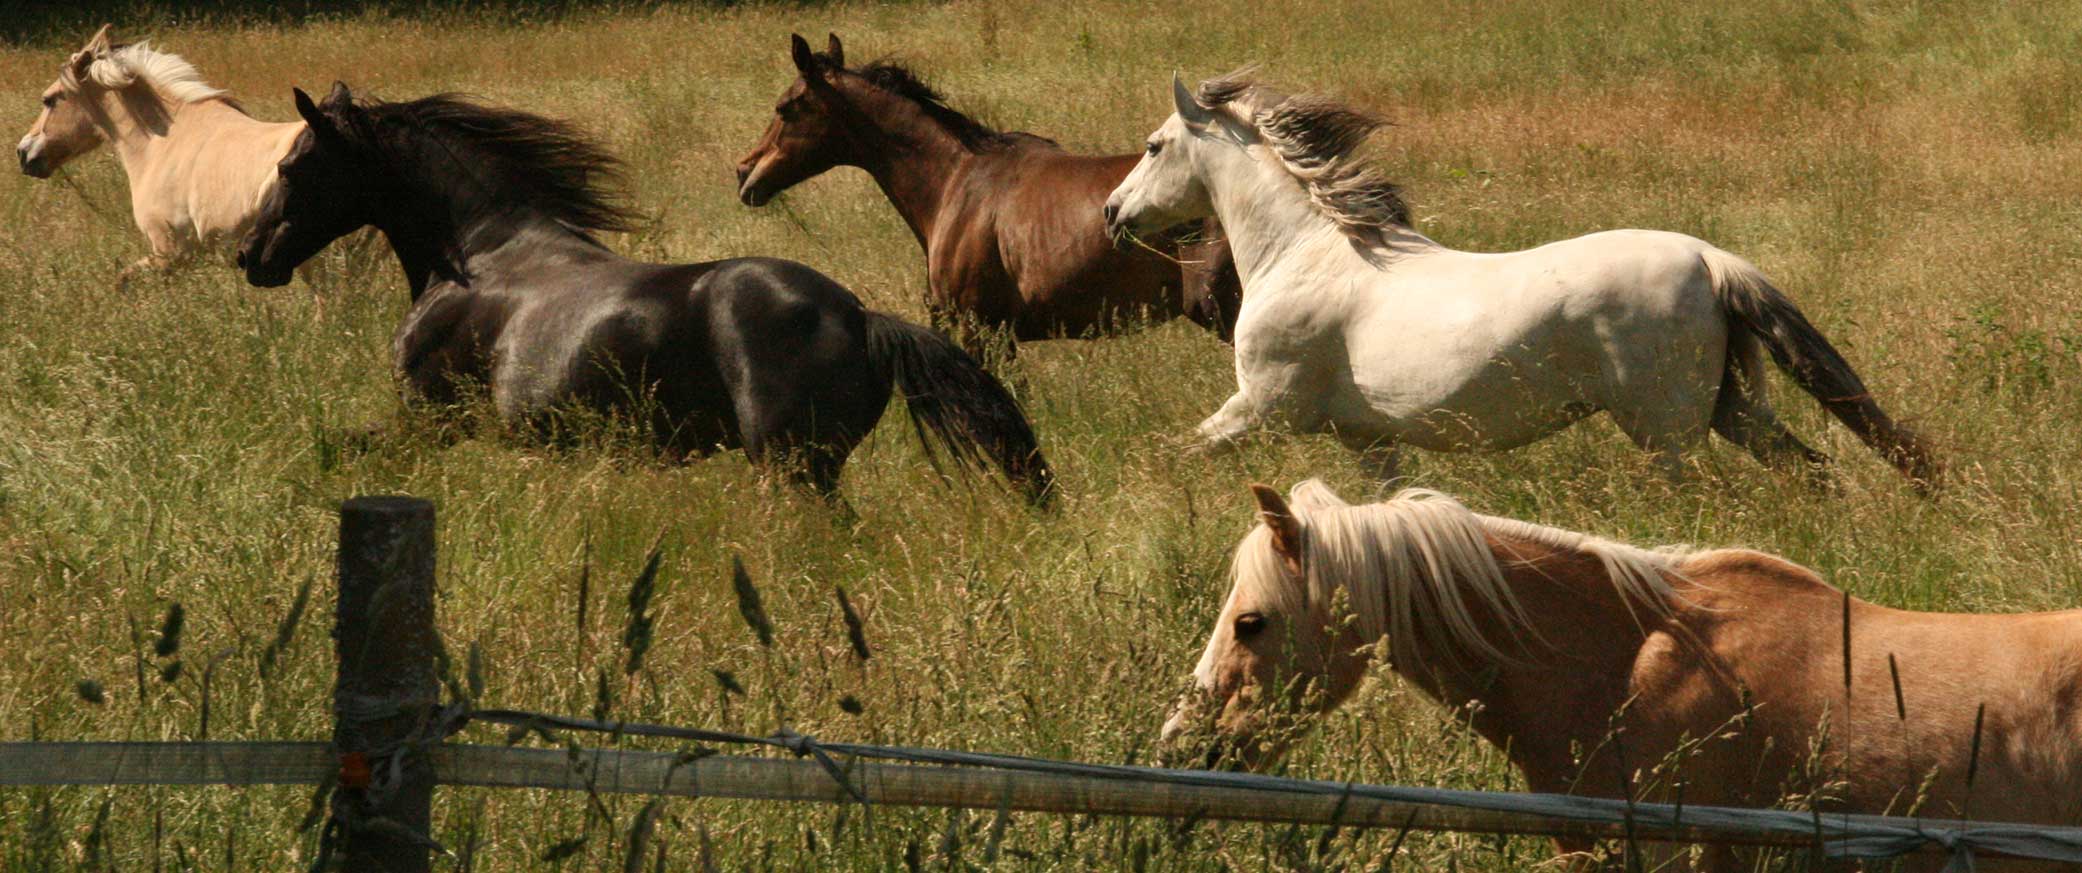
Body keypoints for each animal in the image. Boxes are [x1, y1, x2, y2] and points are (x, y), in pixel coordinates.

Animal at [235, 83, 1054, 505]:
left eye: (294, 165)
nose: (251, 256)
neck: (478, 255)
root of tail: (859, 317)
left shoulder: (426, 421)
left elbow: (341, 450)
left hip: (790, 470)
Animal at [1103, 72, 1939, 489]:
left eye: (1153, 145)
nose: (1113, 212)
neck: (1306, 254)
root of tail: (1711, 259)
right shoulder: (1367, 439)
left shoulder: (1260, 408)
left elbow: (1176, 454)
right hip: (1736, 408)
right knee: (1815, 472)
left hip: (1667, 432)